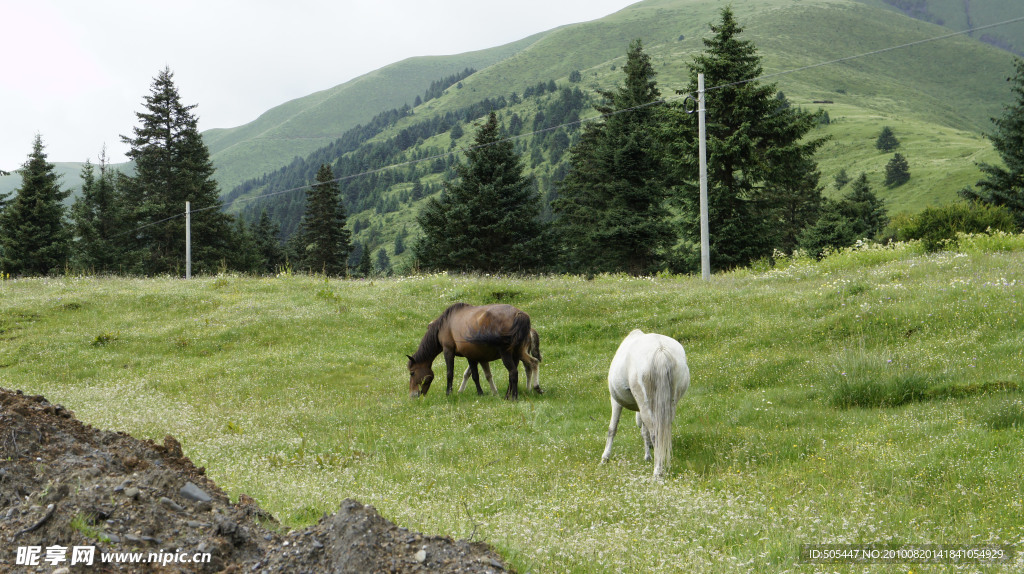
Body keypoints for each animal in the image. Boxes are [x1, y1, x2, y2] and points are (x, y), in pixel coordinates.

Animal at [405, 302, 540, 401]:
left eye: (412, 373)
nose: (412, 395)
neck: (446, 323)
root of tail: (519, 314)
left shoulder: (448, 350)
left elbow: (450, 373)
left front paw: (449, 393)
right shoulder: (471, 356)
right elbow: (475, 375)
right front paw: (480, 393)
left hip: (506, 354)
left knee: (514, 372)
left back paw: (516, 396)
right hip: (516, 354)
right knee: (519, 371)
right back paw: (509, 395)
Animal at [598, 329, 688, 476]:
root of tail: (660, 349)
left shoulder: (616, 401)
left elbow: (612, 428)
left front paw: (605, 458)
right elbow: (645, 431)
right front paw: (647, 456)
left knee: (656, 434)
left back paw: (658, 472)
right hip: (668, 405)